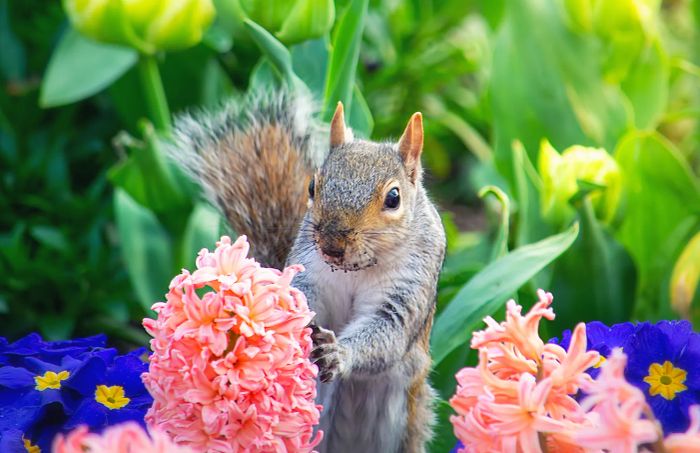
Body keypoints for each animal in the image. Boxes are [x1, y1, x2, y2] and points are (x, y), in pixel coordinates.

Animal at [168, 90, 446, 453]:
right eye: (313, 187)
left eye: (394, 198)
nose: (332, 244)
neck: (355, 269)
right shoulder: (308, 271)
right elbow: (300, 301)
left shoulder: (409, 285)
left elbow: (388, 330)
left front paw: (338, 353)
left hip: (404, 416)